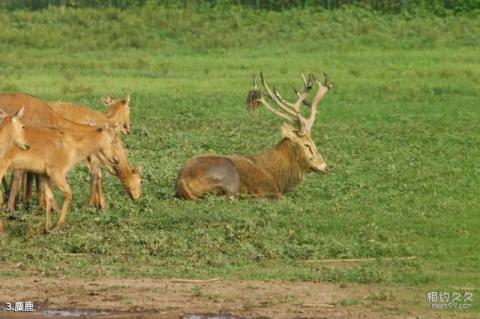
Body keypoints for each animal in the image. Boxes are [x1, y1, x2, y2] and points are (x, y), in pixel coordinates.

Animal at [174, 72, 332, 200]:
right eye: (307, 145)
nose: (325, 167)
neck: (279, 177)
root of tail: (182, 180)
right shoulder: (267, 188)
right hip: (228, 177)